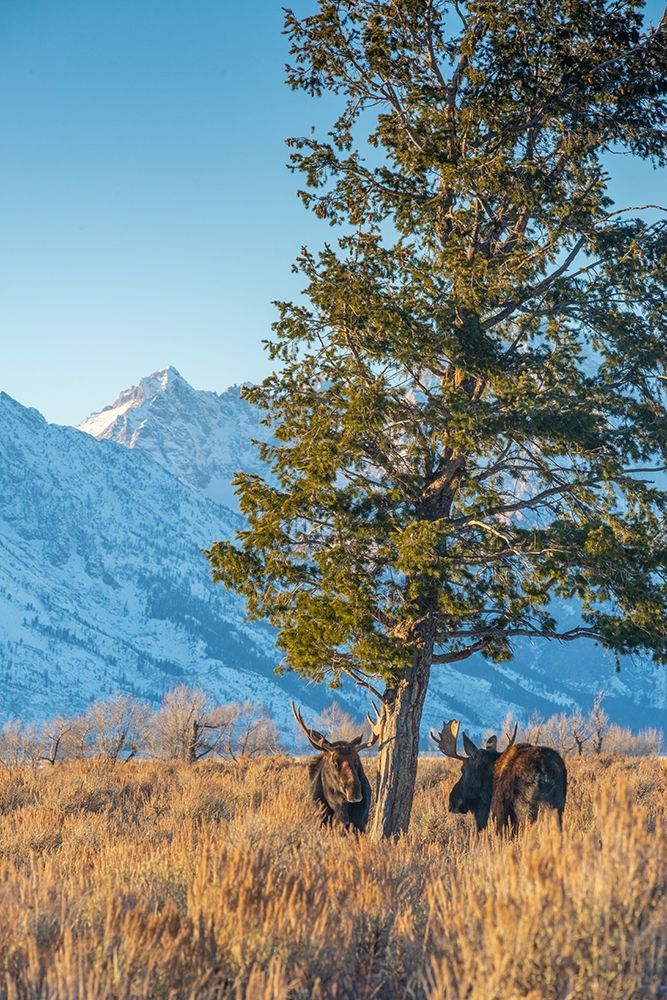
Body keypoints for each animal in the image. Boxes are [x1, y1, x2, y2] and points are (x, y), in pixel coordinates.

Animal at [432, 719, 567, 833]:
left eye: (462, 769)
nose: (451, 801)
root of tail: (544, 770)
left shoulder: (500, 813)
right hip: (556, 808)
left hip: (525, 810)